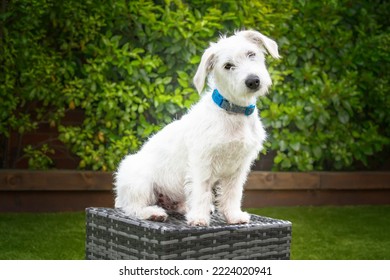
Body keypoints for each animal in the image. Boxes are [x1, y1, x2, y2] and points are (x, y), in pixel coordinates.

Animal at [114, 30, 278, 226]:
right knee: (132, 208)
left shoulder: (238, 167)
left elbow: (232, 193)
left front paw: (233, 216)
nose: (253, 81)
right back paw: (153, 213)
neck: (233, 112)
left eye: (251, 54)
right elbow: (201, 190)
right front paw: (199, 218)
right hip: (140, 181)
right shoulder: (202, 161)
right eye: (228, 65)